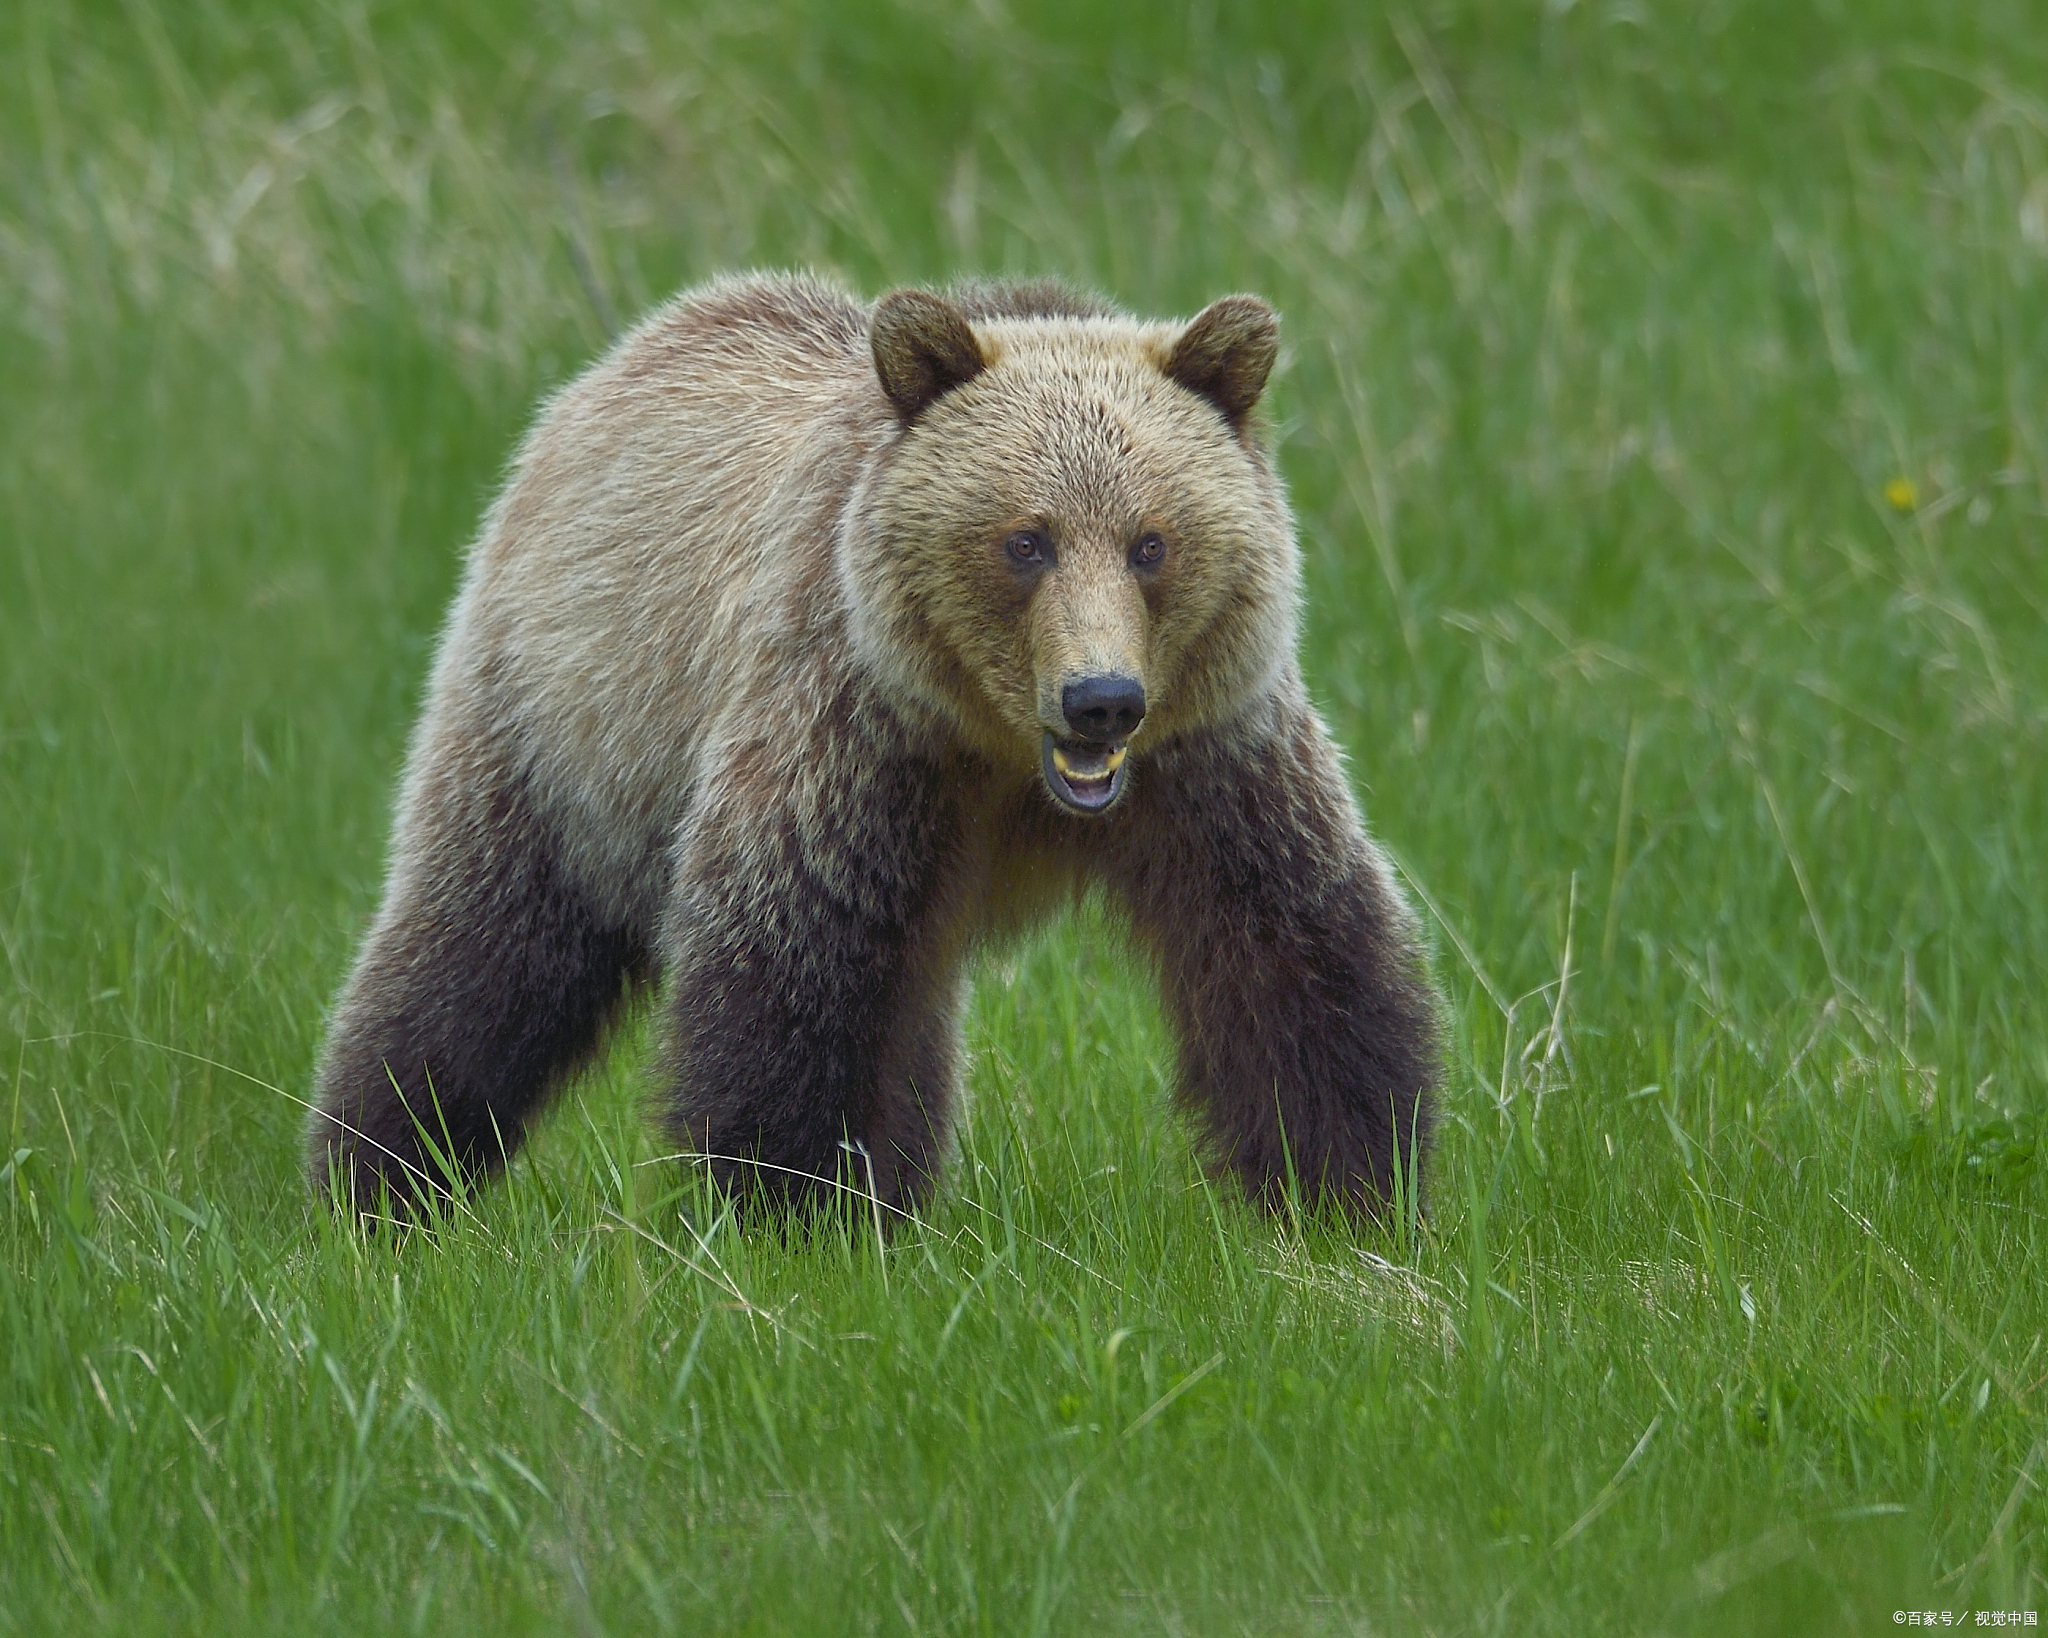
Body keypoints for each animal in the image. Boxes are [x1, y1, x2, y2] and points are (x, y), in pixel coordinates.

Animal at [311, 272, 1441, 1212]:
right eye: (1024, 540)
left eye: (1151, 543)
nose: (1101, 700)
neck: (1000, 753)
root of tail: (635, 348)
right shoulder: (857, 741)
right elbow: (803, 965)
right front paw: (795, 1207)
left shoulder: (1208, 753)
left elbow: (1291, 945)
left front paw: (1351, 1188)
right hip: (566, 725)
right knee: (485, 945)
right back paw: (379, 1173)